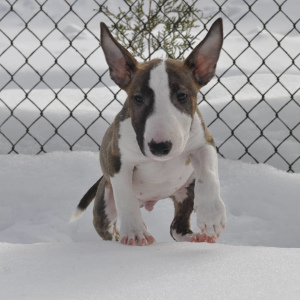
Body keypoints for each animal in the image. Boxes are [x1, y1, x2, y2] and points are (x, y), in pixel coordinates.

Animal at [69, 17, 225, 245]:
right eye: (138, 98)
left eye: (182, 96)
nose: (160, 147)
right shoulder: (118, 162)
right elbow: (126, 198)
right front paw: (135, 233)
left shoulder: (204, 142)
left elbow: (208, 173)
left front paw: (212, 215)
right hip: (104, 204)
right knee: (110, 228)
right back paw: (120, 236)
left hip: (187, 187)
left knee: (177, 228)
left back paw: (194, 236)